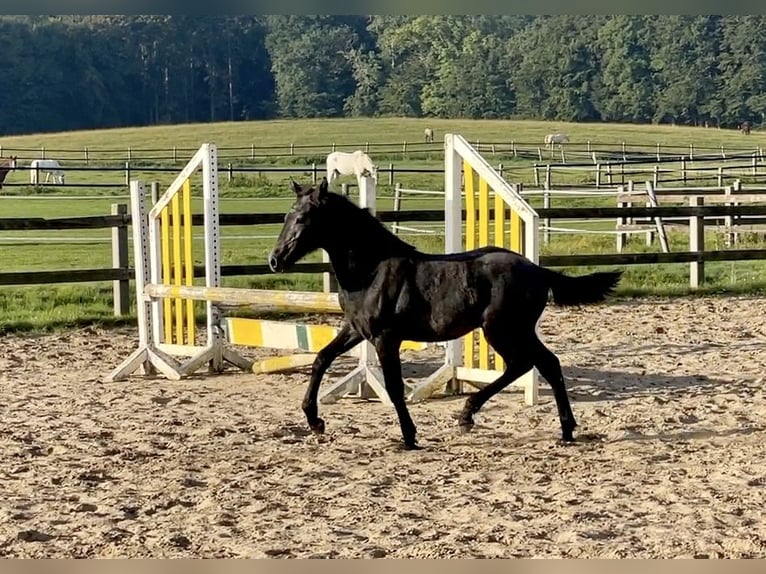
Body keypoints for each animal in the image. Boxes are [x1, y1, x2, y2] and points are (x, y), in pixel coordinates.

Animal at [268, 178, 624, 452]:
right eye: (287, 216)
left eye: (303, 219)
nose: (275, 260)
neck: (372, 271)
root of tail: (538, 270)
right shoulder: (356, 329)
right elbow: (321, 358)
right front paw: (314, 420)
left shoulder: (385, 338)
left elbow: (394, 386)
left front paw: (409, 437)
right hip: (515, 330)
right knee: (546, 363)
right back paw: (564, 430)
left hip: (502, 329)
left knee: (526, 364)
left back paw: (469, 415)